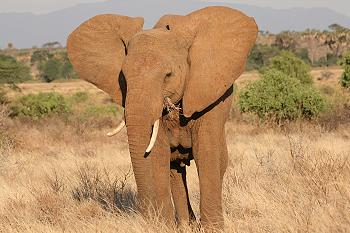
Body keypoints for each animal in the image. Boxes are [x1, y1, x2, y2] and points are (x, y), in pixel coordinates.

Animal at [67, 5, 258, 231]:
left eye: (168, 75)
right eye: (123, 78)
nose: (146, 217)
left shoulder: (208, 96)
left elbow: (206, 153)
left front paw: (213, 229)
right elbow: (157, 155)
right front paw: (164, 227)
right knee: (174, 170)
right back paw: (185, 225)